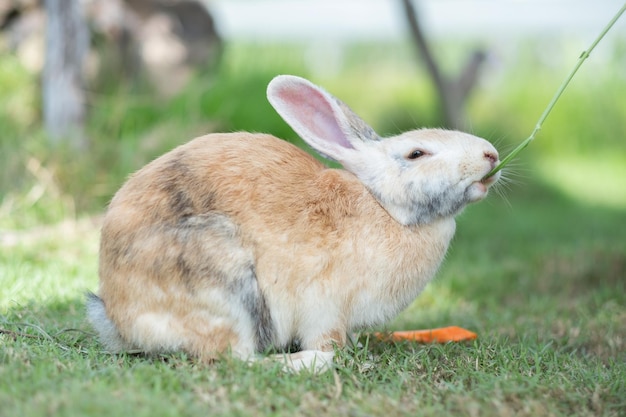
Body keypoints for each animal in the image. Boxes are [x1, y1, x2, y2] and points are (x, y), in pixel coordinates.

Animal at [88, 74, 500, 370]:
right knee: (237, 360)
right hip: (227, 286)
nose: (491, 154)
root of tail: (120, 316)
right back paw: (307, 362)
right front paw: (342, 356)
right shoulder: (327, 308)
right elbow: (328, 338)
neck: (386, 209)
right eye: (416, 154)